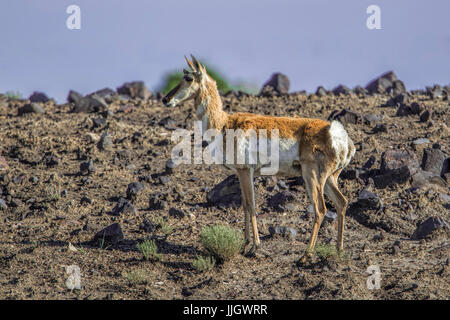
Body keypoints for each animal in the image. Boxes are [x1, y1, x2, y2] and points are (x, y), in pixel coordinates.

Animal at [162, 55, 356, 264]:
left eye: (188, 78)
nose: (166, 99)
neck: (223, 123)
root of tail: (338, 134)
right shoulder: (243, 173)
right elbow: (245, 204)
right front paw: (246, 244)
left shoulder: (245, 171)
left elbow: (251, 205)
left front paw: (255, 246)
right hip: (329, 178)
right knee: (342, 202)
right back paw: (339, 250)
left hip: (312, 176)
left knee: (320, 209)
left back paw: (306, 255)